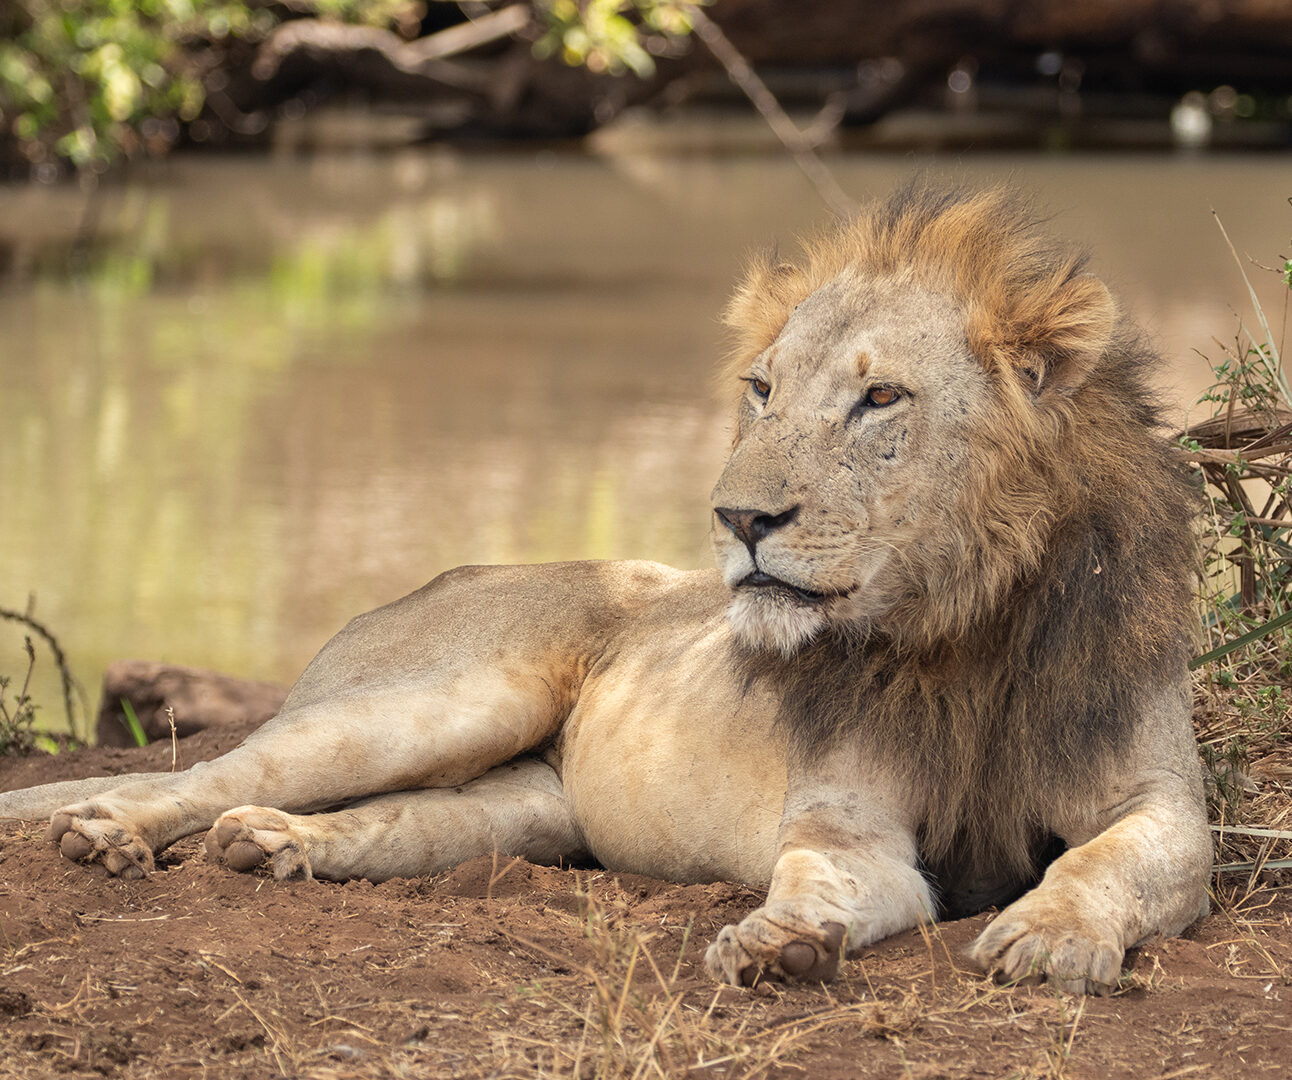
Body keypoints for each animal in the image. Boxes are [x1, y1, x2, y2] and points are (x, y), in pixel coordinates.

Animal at [0, 181, 1210, 995]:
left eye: (879, 399)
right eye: (761, 392)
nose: (738, 520)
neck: (963, 628)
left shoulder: (1162, 803)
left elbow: (1107, 862)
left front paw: (1050, 935)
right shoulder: (843, 818)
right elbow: (826, 877)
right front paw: (779, 941)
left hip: (522, 810)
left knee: (390, 824)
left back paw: (275, 847)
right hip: (439, 701)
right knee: (211, 771)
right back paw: (110, 833)